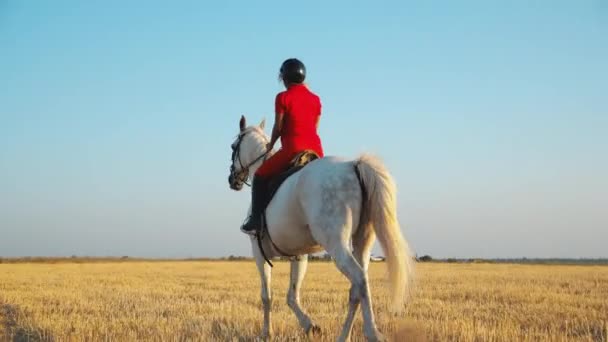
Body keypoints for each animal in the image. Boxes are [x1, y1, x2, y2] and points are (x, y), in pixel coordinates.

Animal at [229, 116, 418, 340]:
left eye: (233, 146)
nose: (233, 180)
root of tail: (354, 165)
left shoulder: (258, 252)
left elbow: (267, 296)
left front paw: (267, 333)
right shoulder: (299, 255)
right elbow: (292, 296)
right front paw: (310, 326)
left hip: (337, 244)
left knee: (360, 280)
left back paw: (372, 333)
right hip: (363, 241)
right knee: (356, 289)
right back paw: (344, 336)